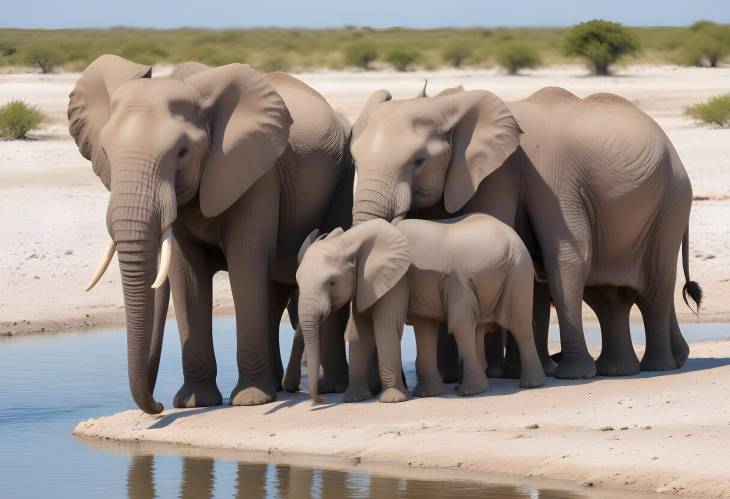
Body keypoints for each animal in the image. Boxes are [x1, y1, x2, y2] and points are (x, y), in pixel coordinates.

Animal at [69, 54, 352, 414]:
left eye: (182, 153)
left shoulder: (258, 176)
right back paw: (277, 386)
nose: (157, 405)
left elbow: (246, 263)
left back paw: (320, 388)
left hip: (344, 176)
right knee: (273, 294)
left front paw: (249, 401)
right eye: (105, 151)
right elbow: (186, 274)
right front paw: (193, 403)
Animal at [292, 215, 544, 402]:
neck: (352, 240)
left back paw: (520, 386)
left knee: (517, 327)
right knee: (471, 328)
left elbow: (386, 326)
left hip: (518, 270)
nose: (319, 399)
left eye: (332, 282)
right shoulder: (366, 283)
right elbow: (360, 332)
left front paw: (392, 400)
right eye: (298, 281)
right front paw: (354, 399)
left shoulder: (398, 279)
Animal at [350, 84, 704, 380]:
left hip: (671, 202)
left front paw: (563, 376)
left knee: (654, 287)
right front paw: (463, 378)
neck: (447, 103)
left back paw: (657, 366)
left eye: (419, 160)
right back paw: (620, 370)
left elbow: (564, 257)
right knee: (607, 296)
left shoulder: (514, 174)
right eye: (354, 160)